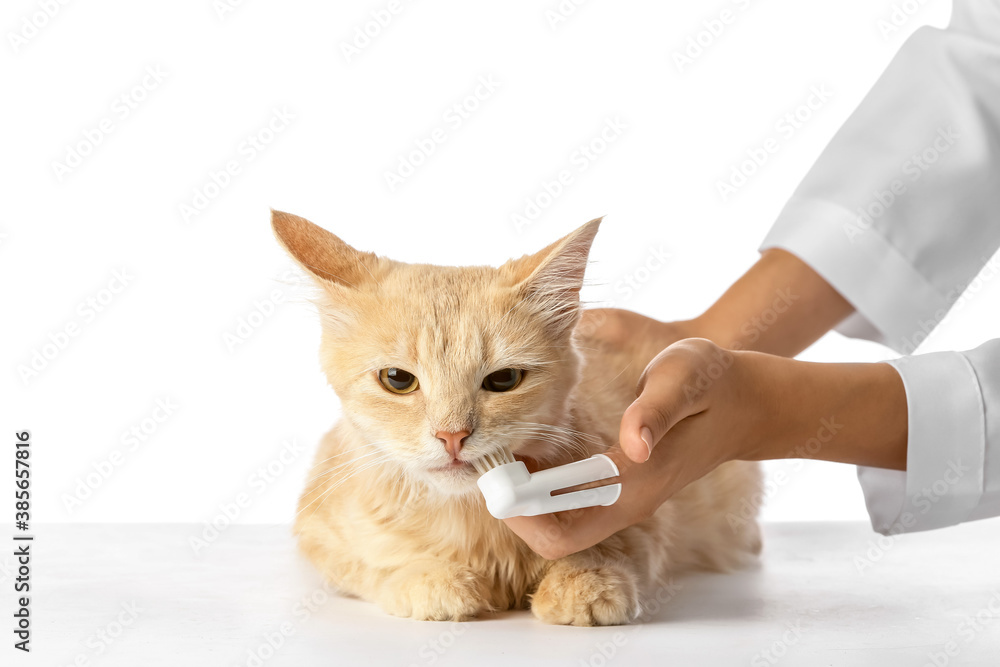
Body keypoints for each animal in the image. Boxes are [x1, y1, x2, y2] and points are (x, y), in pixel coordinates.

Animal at [274, 211, 756, 628]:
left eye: (503, 380)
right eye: (397, 380)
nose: (452, 435)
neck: (474, 522)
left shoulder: (648, 521)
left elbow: (616, 548)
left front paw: (583, 582)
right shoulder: (317, 532)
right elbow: (374, 565)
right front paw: (431, 578)